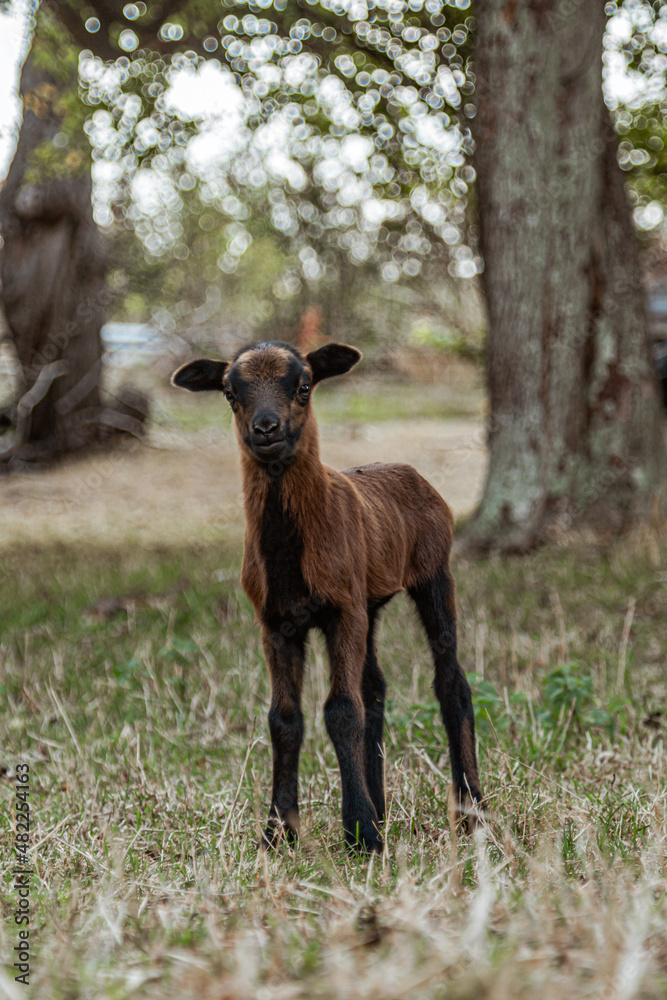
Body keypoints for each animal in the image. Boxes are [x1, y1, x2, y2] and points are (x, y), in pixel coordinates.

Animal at [172, 341, 484, 853]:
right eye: (230, 394)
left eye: (304, 386)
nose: (266, 428)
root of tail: (408, 469)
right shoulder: (276, 623)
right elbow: (284, 720)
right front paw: (278, 832)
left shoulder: (341, 611)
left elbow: (340, 710)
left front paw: (360, 833)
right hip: (368, 602)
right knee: (374, 688)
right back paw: (382, 807)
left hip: (433, 573)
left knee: (450, 681)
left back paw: (472, 812)